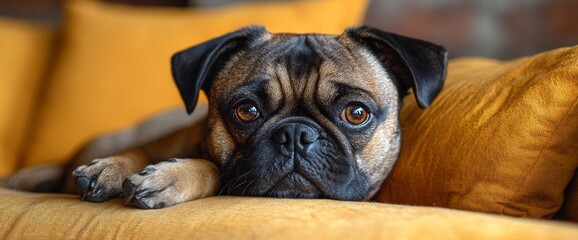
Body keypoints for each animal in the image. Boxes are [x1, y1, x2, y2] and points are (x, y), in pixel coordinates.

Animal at [1, 26, 446, 209]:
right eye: (246, 111)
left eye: (356, 114)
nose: (296, 134)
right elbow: (139, 154)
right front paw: (110, 170)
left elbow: (214, 171)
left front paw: (171, 177)